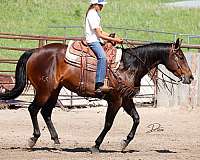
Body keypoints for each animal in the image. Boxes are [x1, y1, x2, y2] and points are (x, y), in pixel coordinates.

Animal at [0, 38, 194, 152]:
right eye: (181, 57)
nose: (190, 77)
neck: (129, 65)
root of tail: (34, 51)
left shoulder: (126, 99)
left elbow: (137, 119)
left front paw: (125, 142)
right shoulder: (115, 100)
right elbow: (108, 123)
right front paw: (96, 145)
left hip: (54, 90)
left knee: (45, 112)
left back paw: (56, 141)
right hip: (44, 90)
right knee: (33, 109)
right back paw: (33, 139)